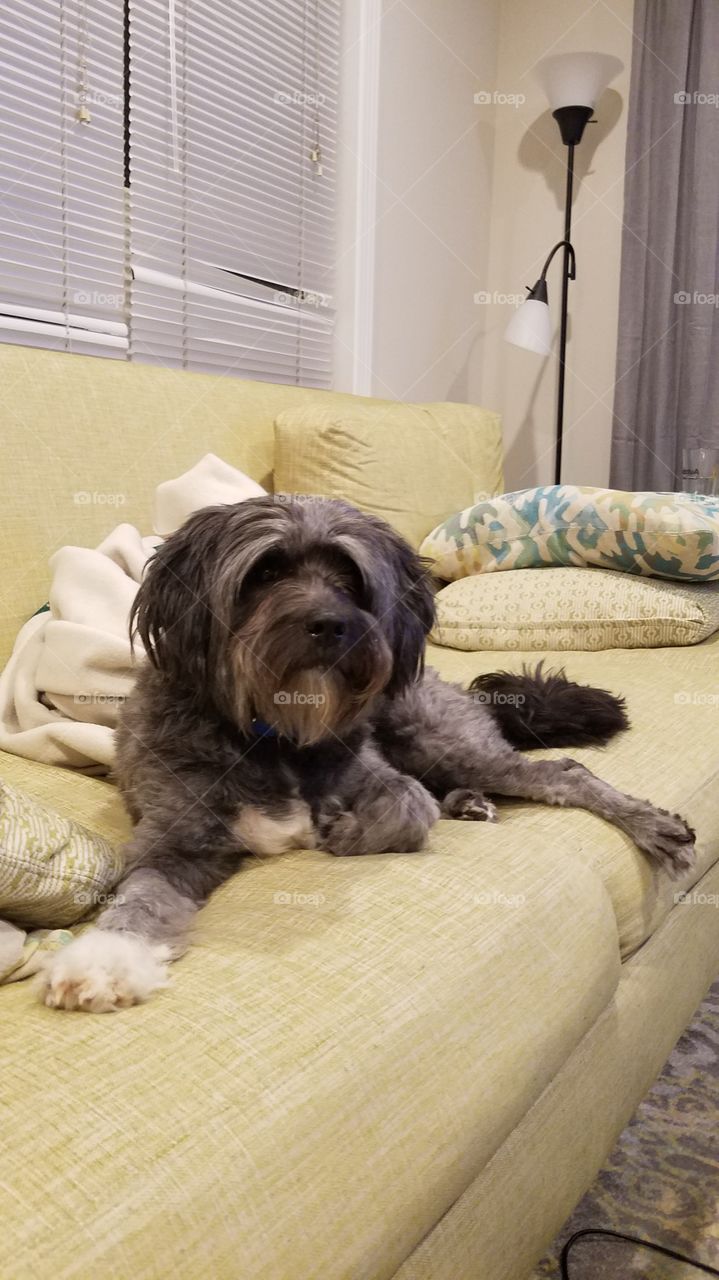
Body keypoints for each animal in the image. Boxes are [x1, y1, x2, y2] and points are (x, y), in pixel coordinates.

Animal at [40, 496, 695, 1008]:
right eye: (265, 572)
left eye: (350, 577)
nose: (333, 624)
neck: (276, 733)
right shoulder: (173, 839)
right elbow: (142, 899)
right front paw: (103, 960)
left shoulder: (377, 776)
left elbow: (405, 809)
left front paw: (345, 831)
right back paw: (471, 804)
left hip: (434, 737)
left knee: (562, 771)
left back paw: (648, 823)